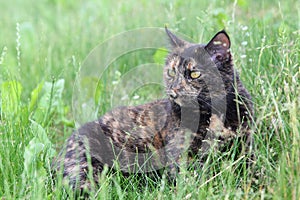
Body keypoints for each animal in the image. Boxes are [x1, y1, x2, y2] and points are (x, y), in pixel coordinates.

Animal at [53, 27, 253, 192]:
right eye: (171, 72)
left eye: (194, 73)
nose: (172, 91)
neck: (214, 114)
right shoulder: (180, 157)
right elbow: (194, 178)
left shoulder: (246, 145)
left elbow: (248, 171)